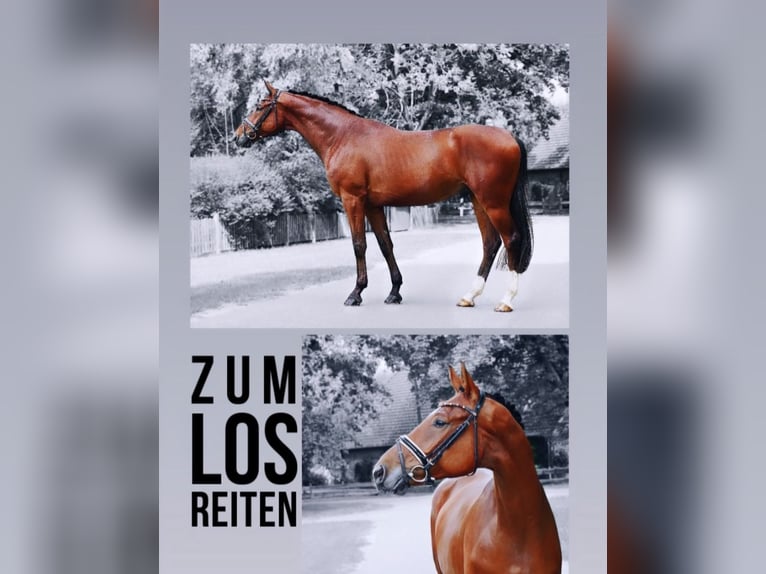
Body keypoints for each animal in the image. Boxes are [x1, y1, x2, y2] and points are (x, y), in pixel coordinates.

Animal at [233, 80, 533, 312]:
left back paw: (506, 301)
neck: (342, 136)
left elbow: (359, 245)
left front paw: (355, 294)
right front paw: (394, 292)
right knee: (490, 243)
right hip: (478, 201)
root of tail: (509, 137)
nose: (239, 136)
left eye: (260, 106)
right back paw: (469, 297)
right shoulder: (374, 206)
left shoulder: (353, 199)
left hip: (493, 203)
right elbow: (385, 244)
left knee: (511, 239)